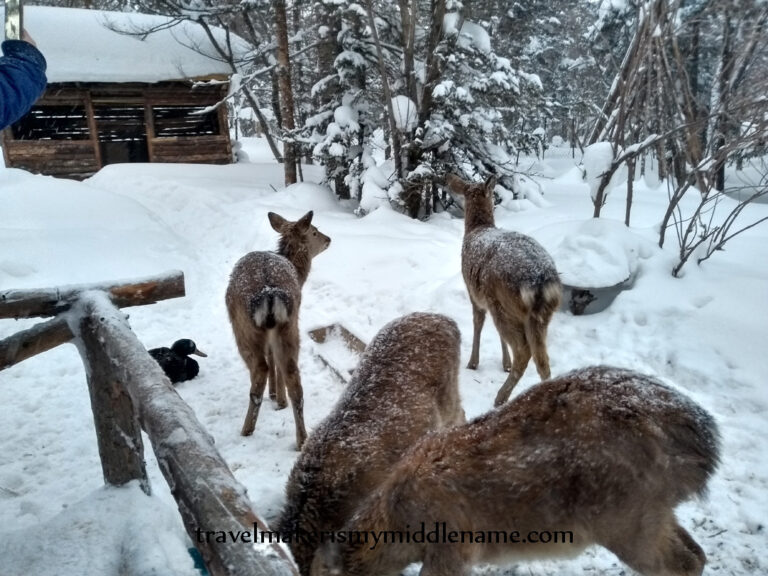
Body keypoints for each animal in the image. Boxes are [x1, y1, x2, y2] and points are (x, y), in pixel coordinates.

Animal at [224, 210, 328, 450]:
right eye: (315, 231)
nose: (328, 239)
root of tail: (270, 294)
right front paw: (279, 399)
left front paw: (275, 397)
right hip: (290, 326)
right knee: (293, 377)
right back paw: (301, 439)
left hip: (244, 329)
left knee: (259, 369)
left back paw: (247, 429)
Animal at [310, 364, 720, 576]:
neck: (400, 530)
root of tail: (702, 443)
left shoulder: (453, 543)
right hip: (653, 511)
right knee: (697, 552)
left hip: (625, 518)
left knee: (684, 562)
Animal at [444, 173, 564, 408]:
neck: (477, 229)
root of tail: (539, 281)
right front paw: (504, 363)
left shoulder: (474, 293)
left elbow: (478, 323)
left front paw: (473, 363)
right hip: (540, 315)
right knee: (542, 359)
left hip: (504, 302)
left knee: (524, 351)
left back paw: (500, 397)